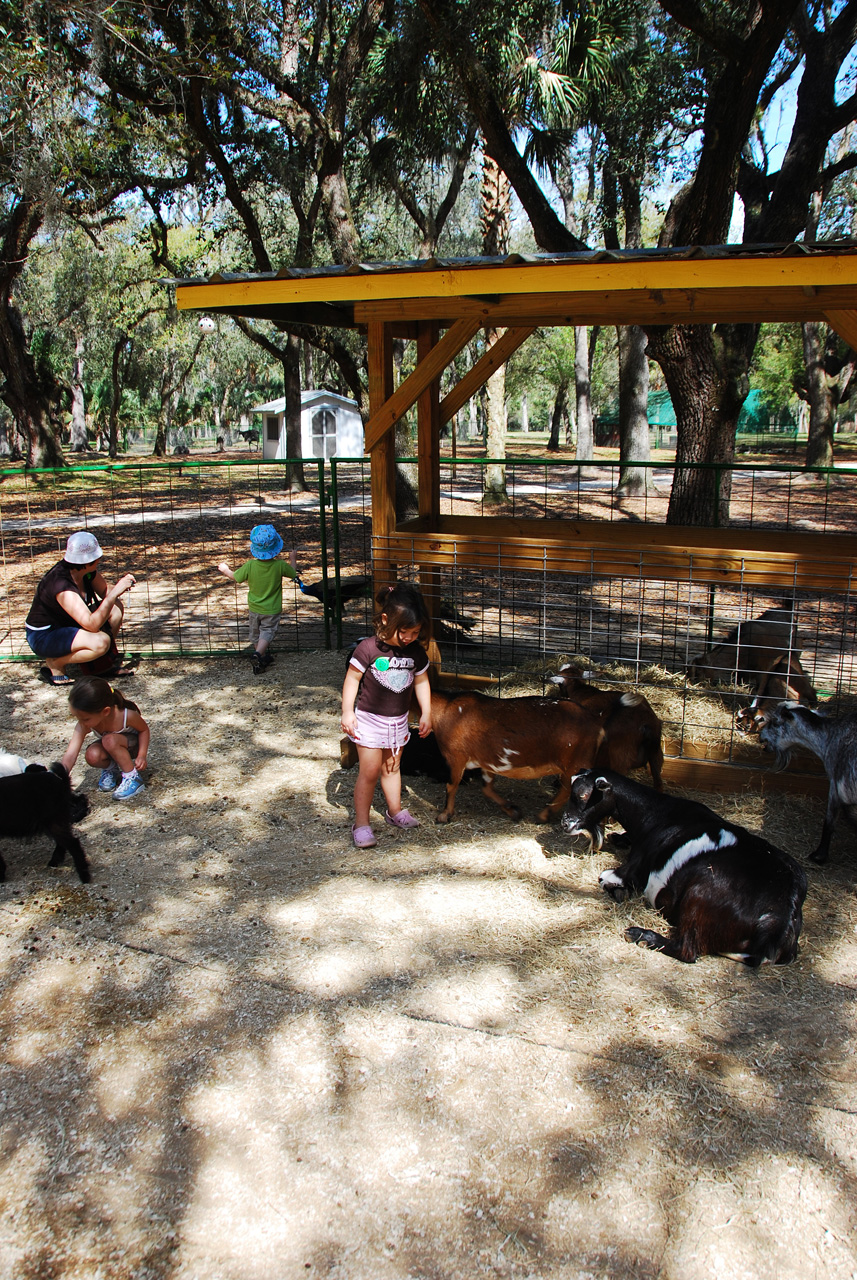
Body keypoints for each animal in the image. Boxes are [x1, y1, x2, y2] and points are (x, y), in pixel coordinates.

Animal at [429, 691, 603, 819]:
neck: (444, 710)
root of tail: (597, 725)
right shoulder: (488, 762)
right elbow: (487, 788)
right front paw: (513, 810)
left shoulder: (456, 758)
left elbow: (451, 786)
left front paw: (444, 815)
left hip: (575, 763)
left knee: (570, 791)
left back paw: (543, 815)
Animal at [560, 762, 808, 962]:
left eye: (583, 795)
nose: (565, 823)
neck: (655, 814)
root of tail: (779, 917)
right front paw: (619, 838)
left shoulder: (632, 869)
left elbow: (605, 878)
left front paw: (619, 891)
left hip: (698, 896)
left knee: (687, 950)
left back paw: (641, 935)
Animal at [762, 706, 857, 865]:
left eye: (775, 722)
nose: (761, 735)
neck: (828, 736)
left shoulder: (835, 785)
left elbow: (829, 821)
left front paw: (819, 856)